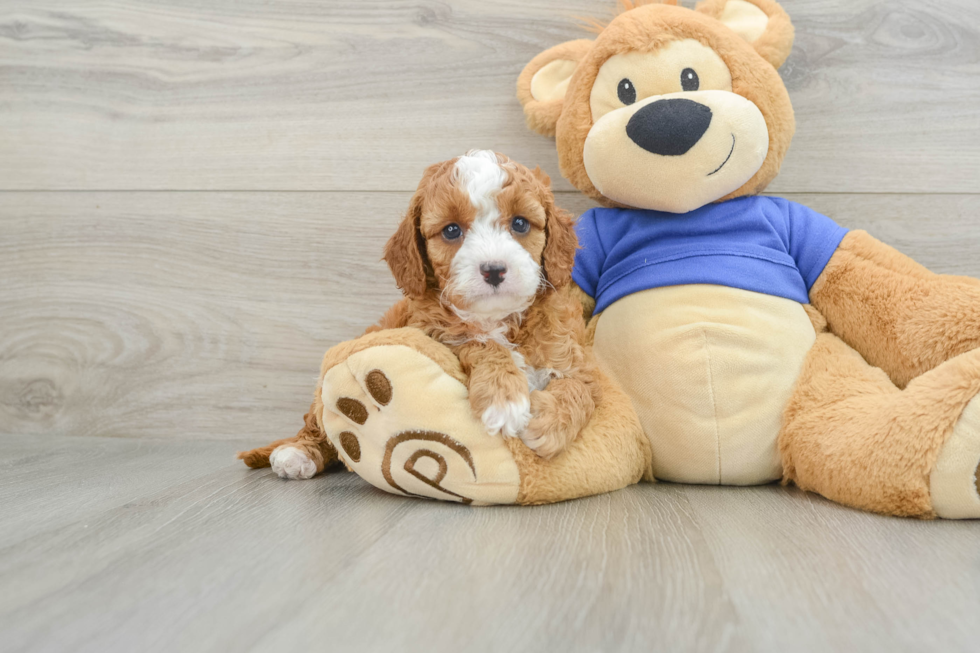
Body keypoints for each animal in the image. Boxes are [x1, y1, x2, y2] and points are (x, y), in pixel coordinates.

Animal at [378, 152, 600, 458]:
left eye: (520, 223)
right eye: (451, 230)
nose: (494, 270)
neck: (500, 318)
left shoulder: (576, 360)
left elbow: (581, 389)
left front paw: (549, 420)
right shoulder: (432, 329)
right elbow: (478, 341)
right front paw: (504, 398)